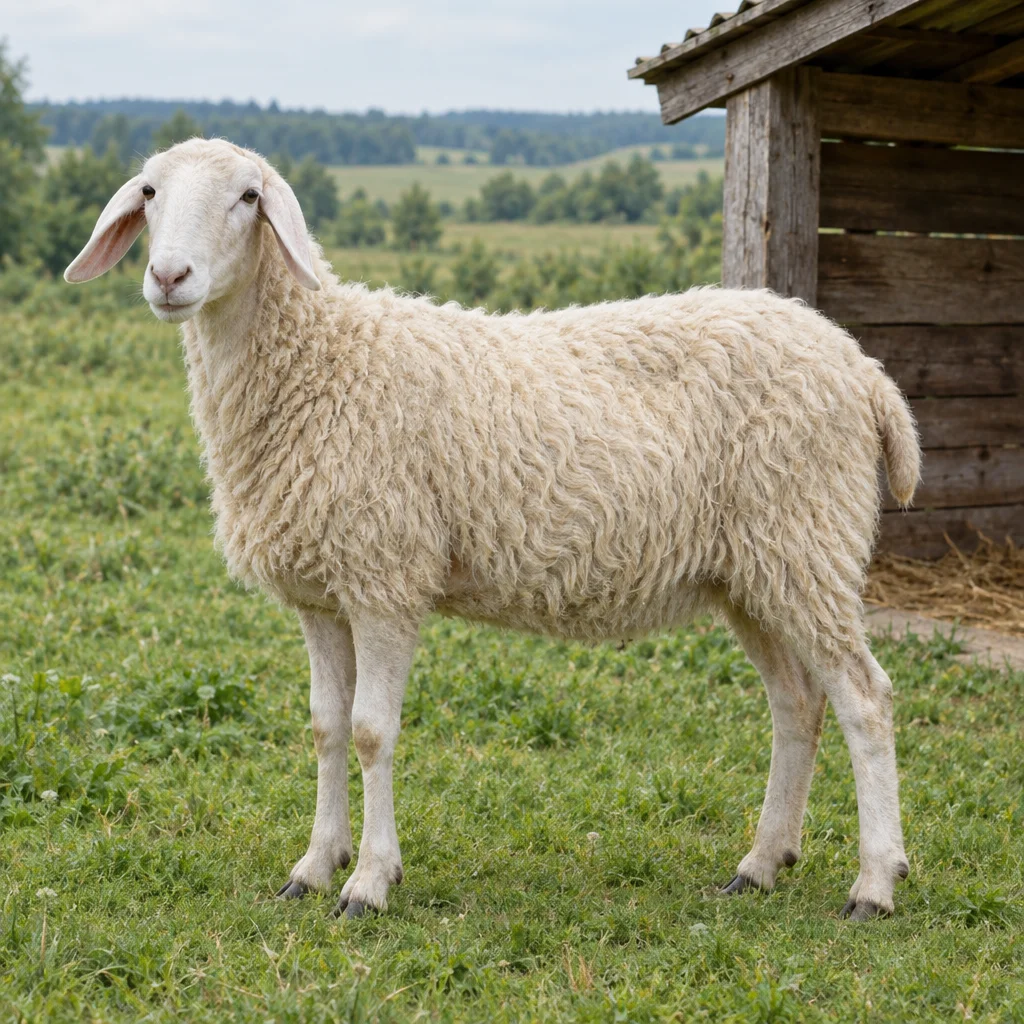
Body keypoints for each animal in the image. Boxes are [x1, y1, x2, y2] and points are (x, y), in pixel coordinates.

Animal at [65, 138, 920, 922]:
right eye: (148, 191)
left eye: (248, 196)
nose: (169, 278)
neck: (322, 363)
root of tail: (864, 369)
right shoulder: (321, 592)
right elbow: (325, 728)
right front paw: (312, 866)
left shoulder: (385, 577)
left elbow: (371, 731)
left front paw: (368, 881)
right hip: (754, 570)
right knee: (797, 704)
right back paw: (763, 863)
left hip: (806, 539)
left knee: (865, 699)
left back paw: (874, 883)